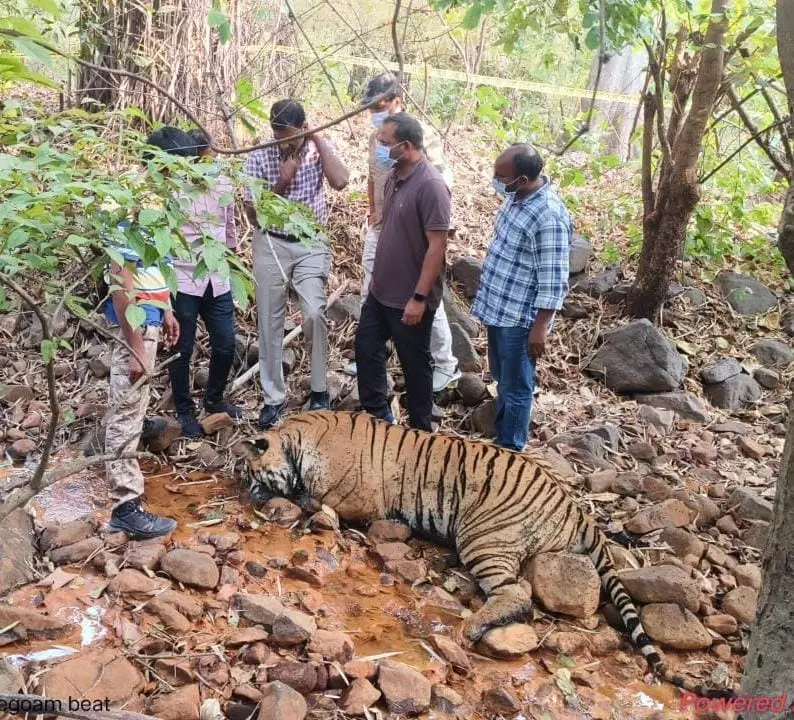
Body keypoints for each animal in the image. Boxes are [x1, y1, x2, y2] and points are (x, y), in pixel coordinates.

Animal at [238, 410, 732, 696]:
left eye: (252, 472)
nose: (246, 491)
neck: (301, 439)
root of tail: (576, 505)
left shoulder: (358, 501)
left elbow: (315, 501)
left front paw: (297, 502)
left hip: (481, 537)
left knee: (518, 595)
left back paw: (473, 627)